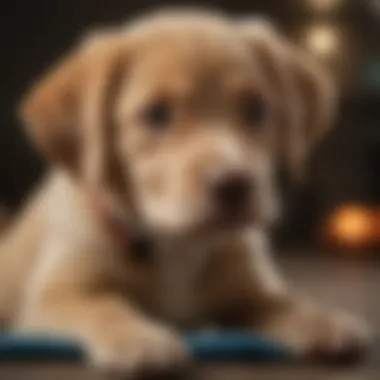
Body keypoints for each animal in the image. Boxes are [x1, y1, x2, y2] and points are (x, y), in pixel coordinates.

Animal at [0, 8, 370, 378]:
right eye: (156, 114)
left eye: (257, 109)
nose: (234, 184)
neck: (178, 245)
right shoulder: (54, 296)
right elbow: (104, 306)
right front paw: (139, 339)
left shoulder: (251, 290)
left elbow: (285, 303)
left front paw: (322, 321)